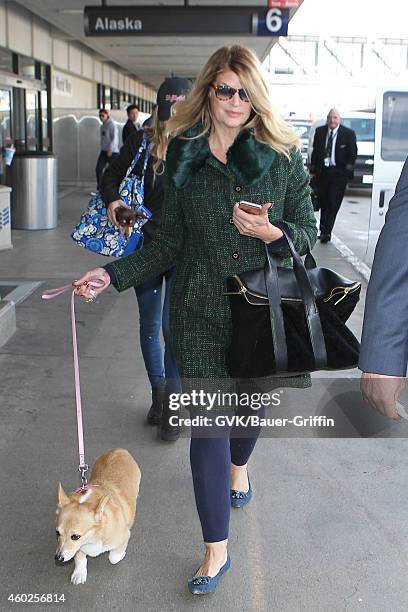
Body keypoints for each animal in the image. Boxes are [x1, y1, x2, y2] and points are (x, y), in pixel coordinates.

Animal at [54, 450, 140, 584]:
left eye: (75, 537)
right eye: (57, 533)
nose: (58, 558)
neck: (93, 537)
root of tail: (120, 450)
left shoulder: (125, 536)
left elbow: (114, 557)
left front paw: (122, 555)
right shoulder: (78, 549)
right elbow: (80, 558)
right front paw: (79, 573)